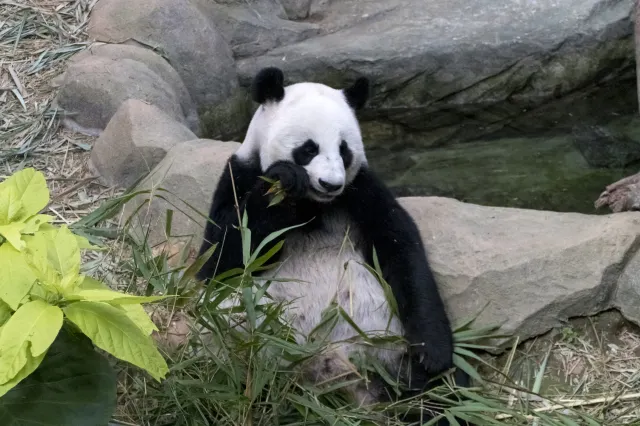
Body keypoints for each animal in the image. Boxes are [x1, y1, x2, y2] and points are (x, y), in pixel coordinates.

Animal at [198, 67, 472, 426]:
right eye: (308, 149)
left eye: (344, 150)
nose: (330, 184)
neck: (314, 204)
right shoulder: (239, 175)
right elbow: (221, 259)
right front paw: (284, 181)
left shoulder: (361, 193)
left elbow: (402, 253)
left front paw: (432, 352)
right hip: (249, 348)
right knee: (222, 370)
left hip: (387, 348)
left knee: (447, 390)